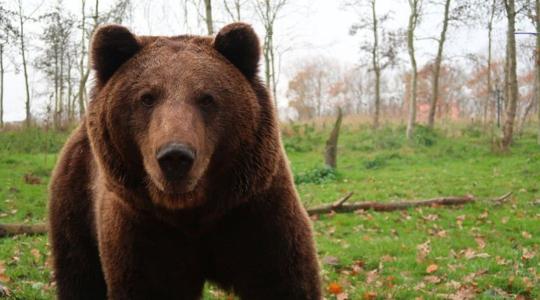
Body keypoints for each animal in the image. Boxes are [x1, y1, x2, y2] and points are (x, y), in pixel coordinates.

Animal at [47, 22, 320, 298]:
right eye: (146, 97)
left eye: (207, 98)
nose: (175, 157)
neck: (192, 213)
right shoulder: (144, 230)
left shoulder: (254, 212)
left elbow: (284, 280)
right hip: (76, 202)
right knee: (79, 273)